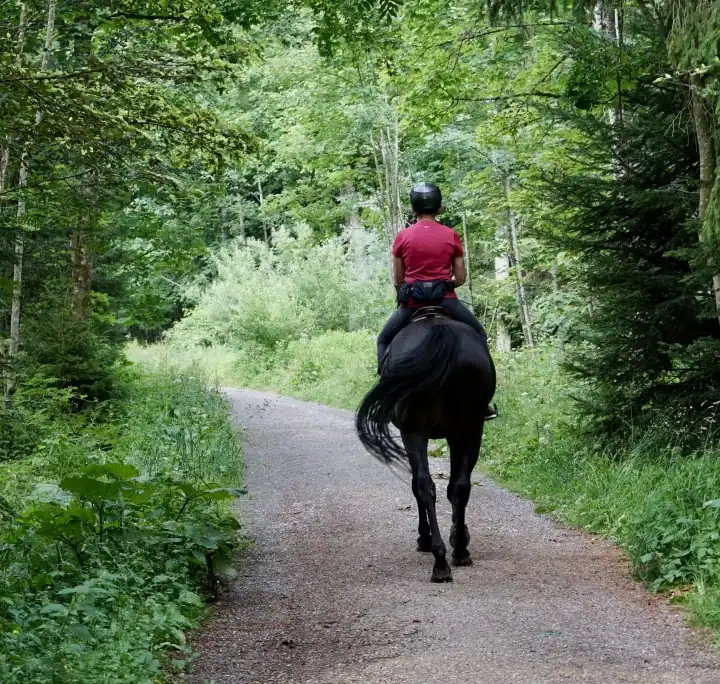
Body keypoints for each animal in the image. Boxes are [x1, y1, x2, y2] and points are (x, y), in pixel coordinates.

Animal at [356, 310, 496, 584]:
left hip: (415, 431)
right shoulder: (459, 433)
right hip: (470, 428)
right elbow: (454, 486)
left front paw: (425, 536)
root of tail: (440, 333)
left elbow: (417, 484)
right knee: (458, 486)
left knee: (424, 486)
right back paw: (457, 551)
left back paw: (439, 557)